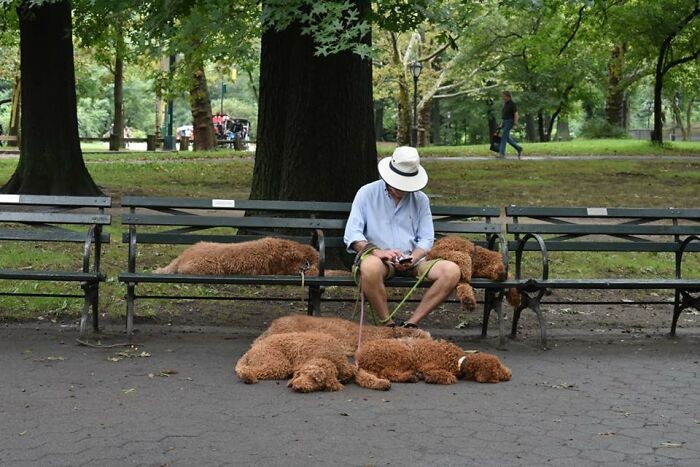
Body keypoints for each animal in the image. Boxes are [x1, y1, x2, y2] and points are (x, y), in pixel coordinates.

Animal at [234, 330, 388, 394]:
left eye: (315, 380)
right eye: (302, 374)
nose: (297, 385)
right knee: (253, 370)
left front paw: (381, 382)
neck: (329, 356)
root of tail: (251, 350)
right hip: (277, 363)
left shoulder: (349, 368)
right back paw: (247, 376)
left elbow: (363, 375)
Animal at [358, 338, 512, 386]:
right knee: (388, 373)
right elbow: (450, 377)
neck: (458, 360)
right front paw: (435, 378)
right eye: (498, 368)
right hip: (402, 353)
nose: (510, 374)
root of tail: (361, 358)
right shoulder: (428, 366)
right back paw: (410, 376)